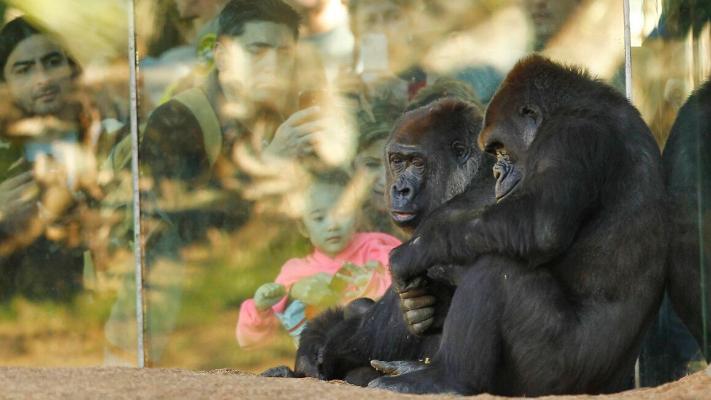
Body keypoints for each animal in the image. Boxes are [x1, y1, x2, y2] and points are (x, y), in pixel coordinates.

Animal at [262, 97, 496, 384]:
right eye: (397, 161)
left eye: (417, 162)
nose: (399, 189)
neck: (475, 177)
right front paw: (309, 346)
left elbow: (367, 335)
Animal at [370, 54, 672, 396]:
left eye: (502, 149)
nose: (498, 173)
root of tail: (610, 387)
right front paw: (421, 303)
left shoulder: (572, 135)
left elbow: (538, 225)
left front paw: (416, 252)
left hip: (558, 377)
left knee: (497, 269)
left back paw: (447, 379)